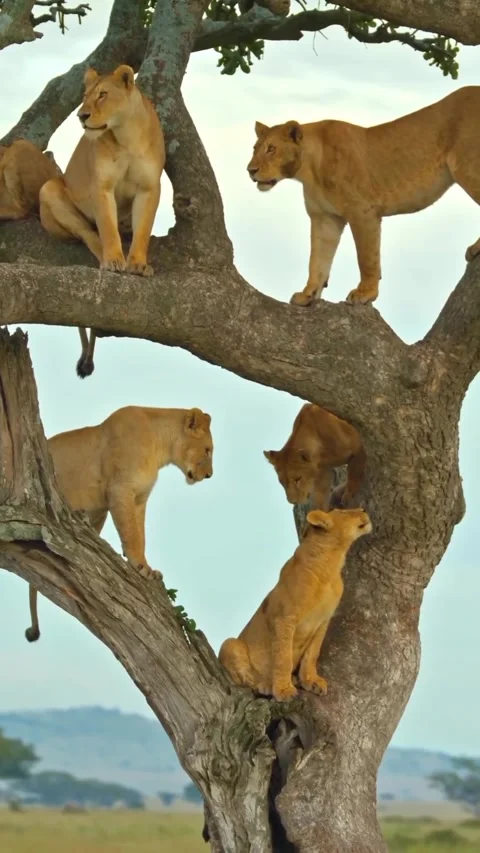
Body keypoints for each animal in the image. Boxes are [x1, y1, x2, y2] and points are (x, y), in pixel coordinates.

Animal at [25, 405, 213, 642]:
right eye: (207, 450)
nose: (209, 475)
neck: (160, 446)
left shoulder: (139, 498)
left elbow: (140, 535)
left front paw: (144, 565)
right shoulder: (120, 490)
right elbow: (132, 533)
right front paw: (140, 566)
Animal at [39, 64, 165, 379]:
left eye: (103, 95)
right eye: (84, 97)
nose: (81, 116)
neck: (126, 134)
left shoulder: (150, 189)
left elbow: (143, 230)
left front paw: (138, 265)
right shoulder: (102, 187)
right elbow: (107, 228)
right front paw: (116, 260)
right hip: (49, 189)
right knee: (90, 233)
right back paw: (108, 260)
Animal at [219, 507, 372, 701]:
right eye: (344, 511)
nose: (363, 509)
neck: (330, 565)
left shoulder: (323, 621)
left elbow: (312, 654)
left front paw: (311, 681)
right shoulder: (285, 618)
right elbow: (283, 657)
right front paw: (284, 690)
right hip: (230, 644)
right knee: (247, 680)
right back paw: (265, 684)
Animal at [248, 87, 480, 306]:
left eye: (271, 149)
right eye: (255, 148)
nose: (250, 170)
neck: (309, 170)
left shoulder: (362, 212)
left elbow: (367, 257)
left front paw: (365, 294)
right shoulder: (325, 218)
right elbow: (317, 260)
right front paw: (307, 295)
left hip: (467, 166)